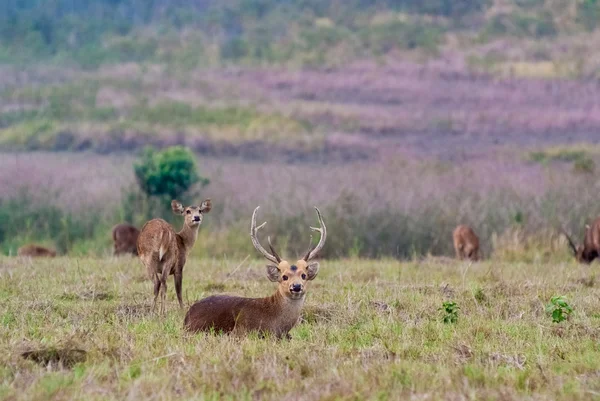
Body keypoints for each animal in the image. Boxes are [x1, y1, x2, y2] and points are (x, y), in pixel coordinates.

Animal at [183, 206, 326, 338]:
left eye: (304, 275)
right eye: (284, 277)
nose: (296, 286)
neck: (276, 325)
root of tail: (186, 317)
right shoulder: (241, 330)